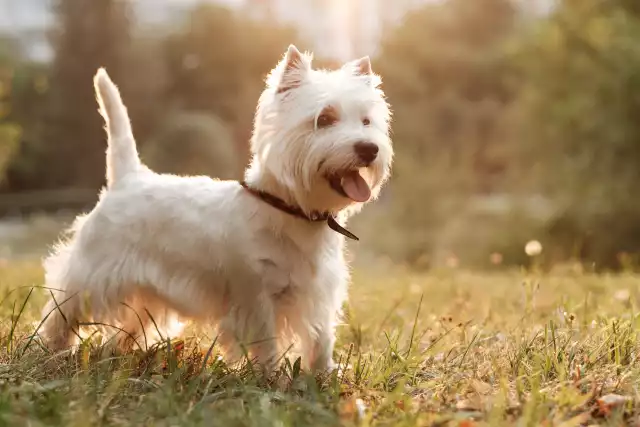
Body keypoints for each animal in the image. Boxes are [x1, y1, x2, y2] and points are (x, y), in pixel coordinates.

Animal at [40, 46, 392, 374]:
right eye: (325, 118)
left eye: (366, 121)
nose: (369, 148)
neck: (292, 210)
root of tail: (127, 177)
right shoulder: (255, 294)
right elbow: (266, 340)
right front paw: (271, 376)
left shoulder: (318, 294)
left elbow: (321, 339)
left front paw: (325, 374)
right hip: (92, 272)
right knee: (63, 309)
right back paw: (53, 351)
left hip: (146, 290)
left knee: (128, 325)